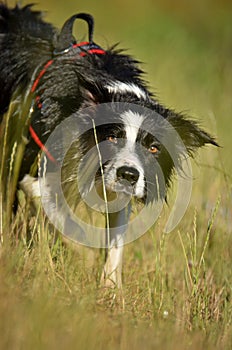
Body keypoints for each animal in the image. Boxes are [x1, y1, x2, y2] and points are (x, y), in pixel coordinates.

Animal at [0, 4, 218, 288]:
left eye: (154, 148)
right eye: (113, 137)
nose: (128, 175)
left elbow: (116, 243)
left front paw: (111, 288)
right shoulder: (31, 167)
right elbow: (62, 218)